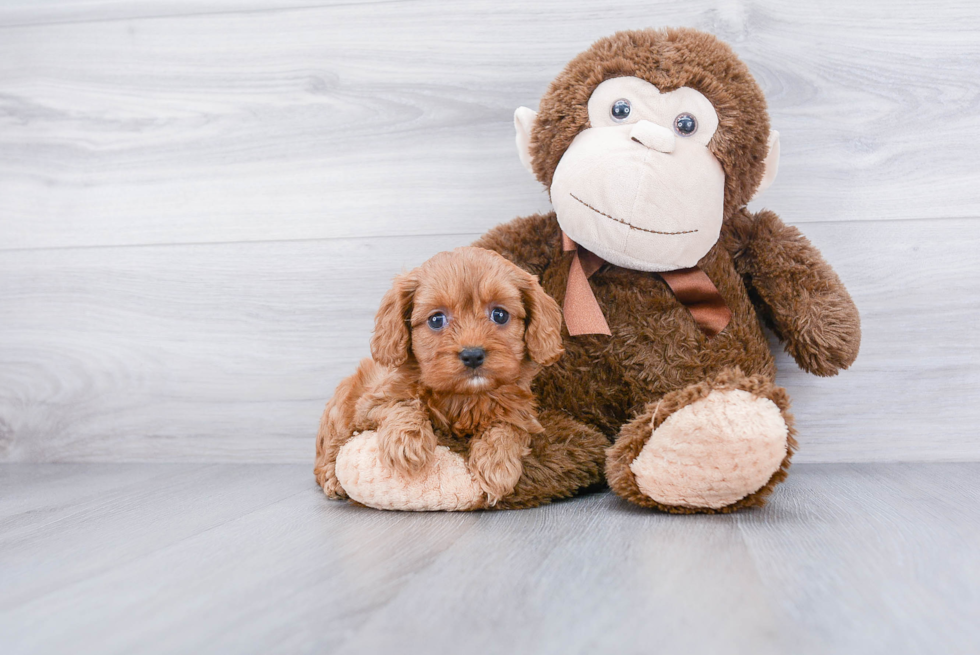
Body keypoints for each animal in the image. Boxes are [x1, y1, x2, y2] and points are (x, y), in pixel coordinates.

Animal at [314, 247, 604, 512]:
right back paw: (333, 480)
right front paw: (407, 441)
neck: (464, 395)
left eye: (499, 315)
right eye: (436, 319)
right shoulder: (371, 403)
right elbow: (403, 403)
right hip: (340, 409)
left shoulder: (522, 415)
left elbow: (506, 427)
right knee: (328, 452)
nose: (473, 355)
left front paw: (496, 465)